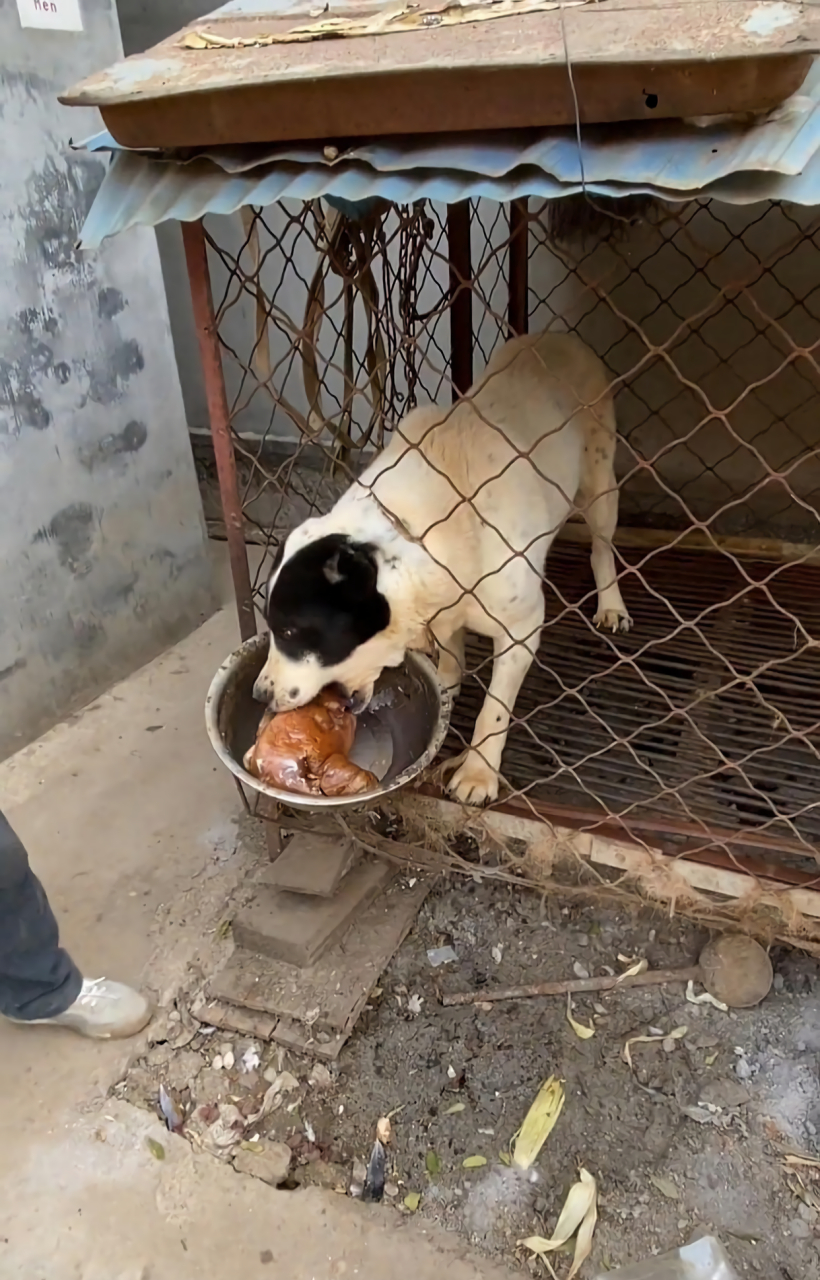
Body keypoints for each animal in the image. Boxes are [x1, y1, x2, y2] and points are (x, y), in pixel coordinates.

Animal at [254, 335, 626, 803]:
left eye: (290, 632)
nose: (259, 694)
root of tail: (560, 336)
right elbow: (449, 645)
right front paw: (448, 681)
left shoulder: (522, 630)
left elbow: (494, 711)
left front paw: (477, 774)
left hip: (601, 484)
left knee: (602, 545)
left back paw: (611, 603)